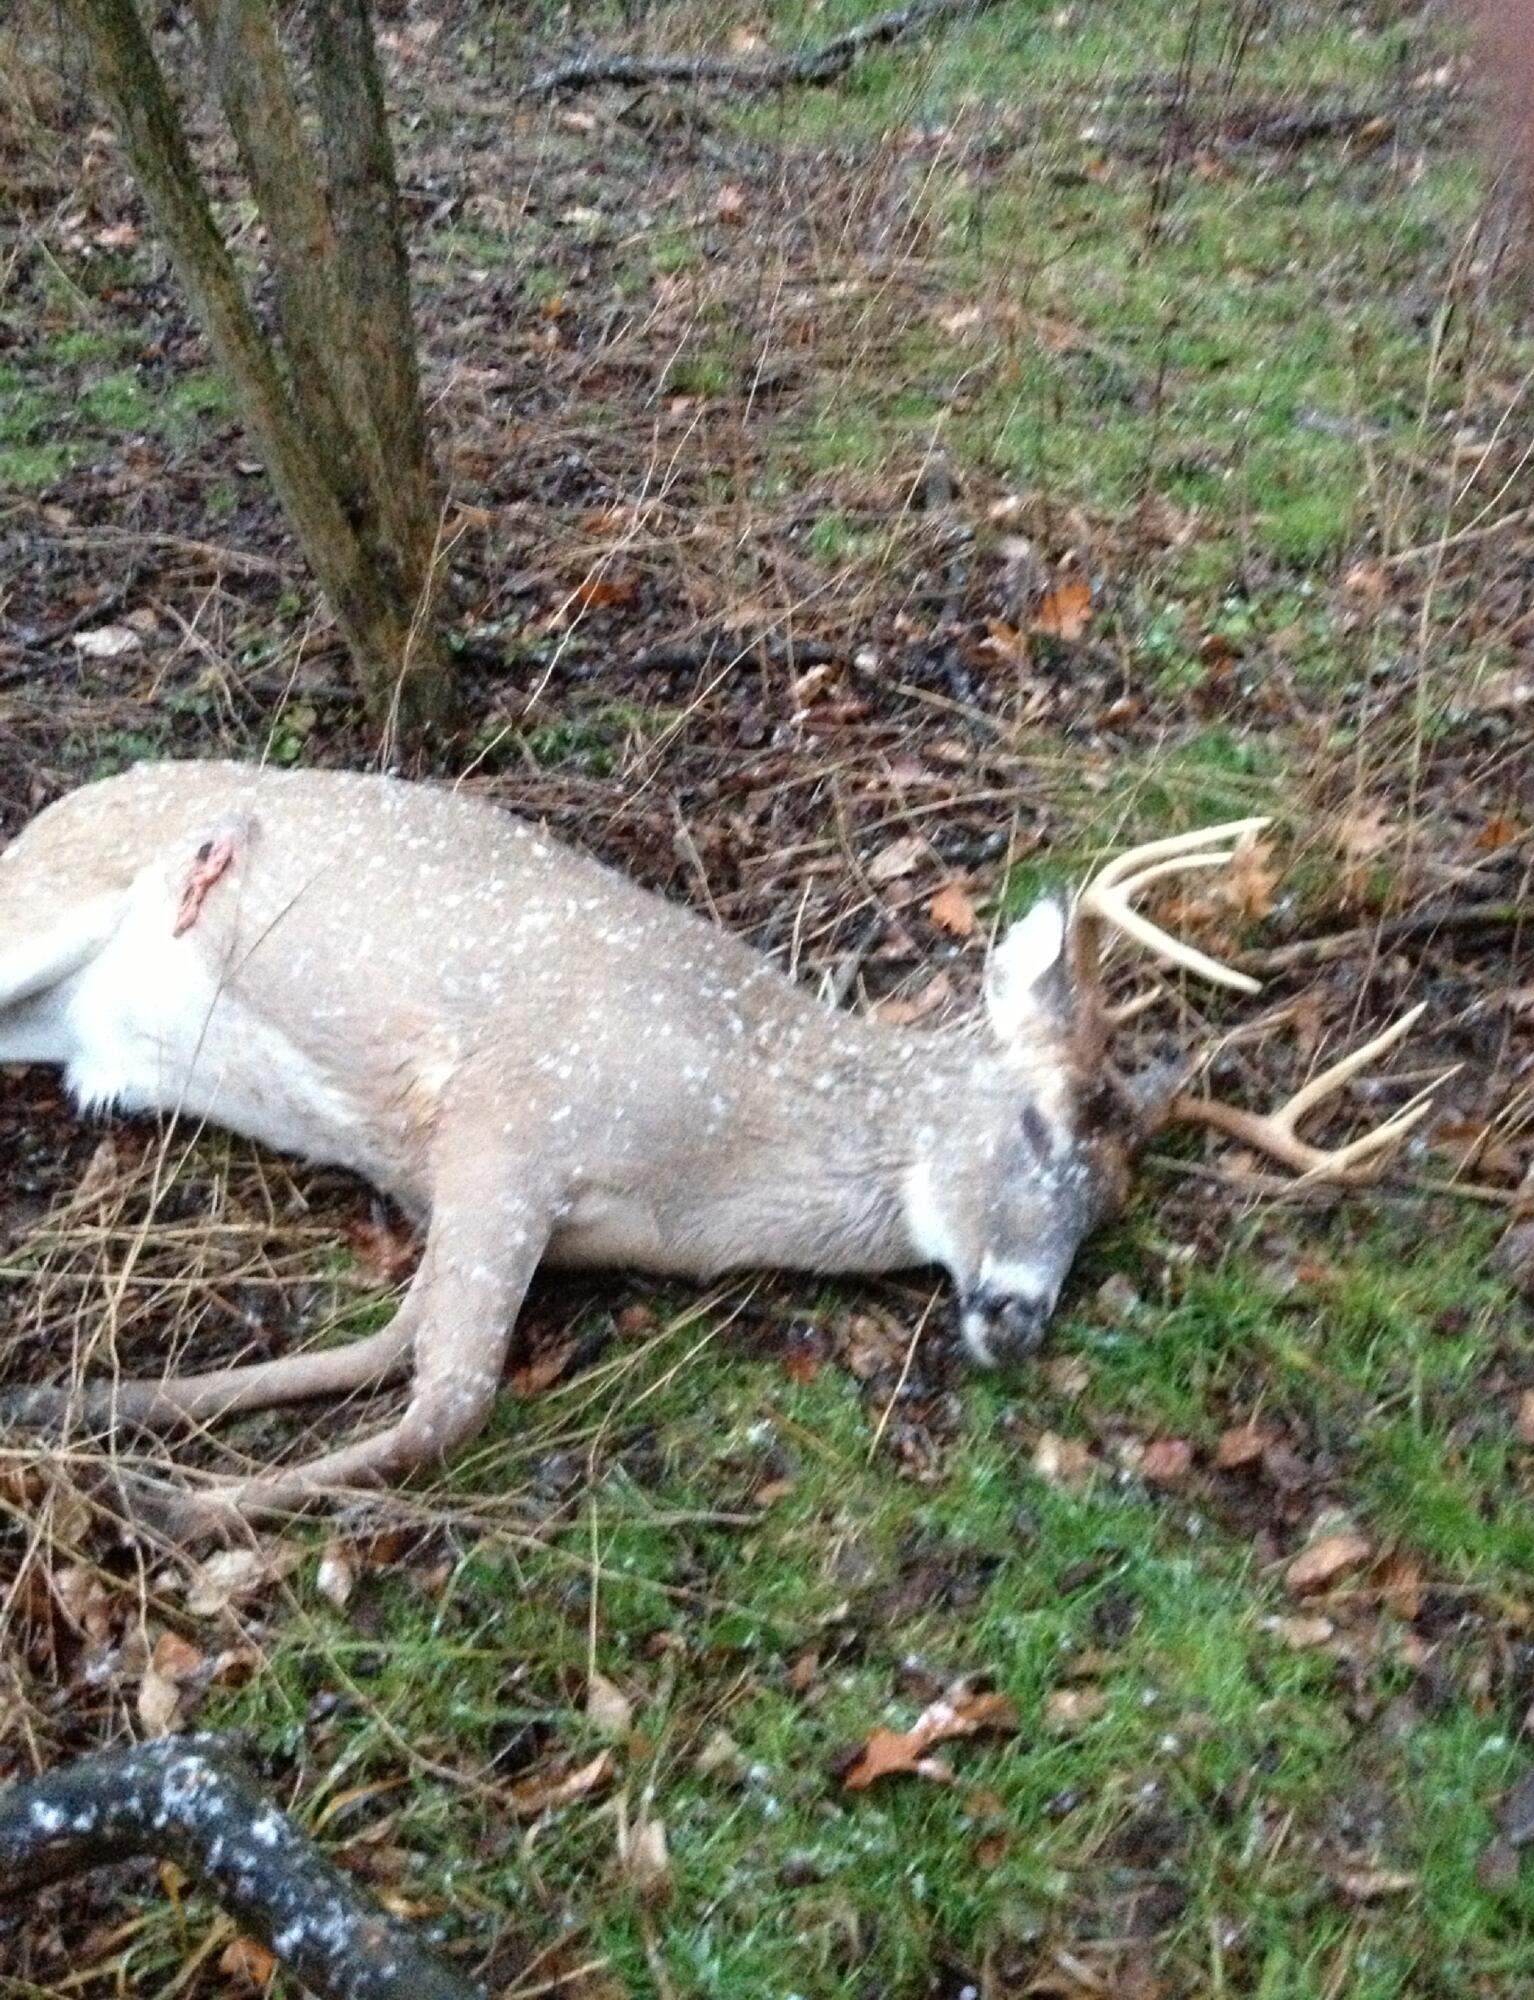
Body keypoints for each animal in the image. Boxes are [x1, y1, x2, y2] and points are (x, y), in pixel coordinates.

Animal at [0, 760, 1438, 1529]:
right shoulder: (512, 1116)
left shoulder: (496, 1190)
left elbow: (388, 1352)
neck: (709, 1155)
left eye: (1114, 1206)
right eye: (1039, 1123)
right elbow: (444, 1399)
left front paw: (92, 1417)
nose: (1019, 1316)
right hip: (39, 903)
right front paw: (178, 1509)